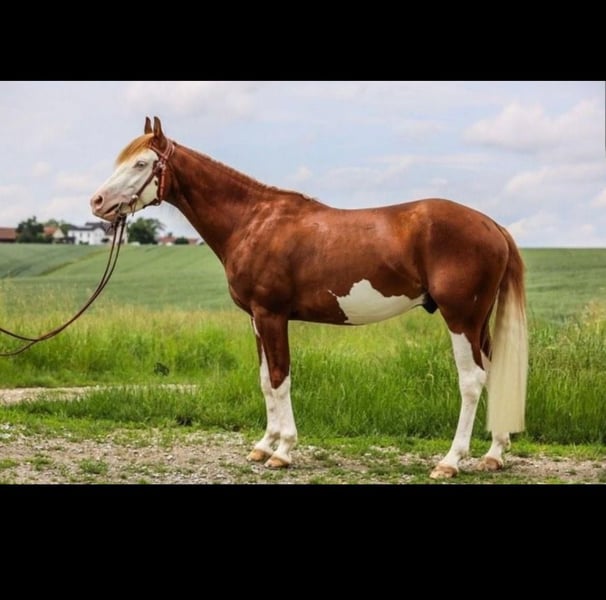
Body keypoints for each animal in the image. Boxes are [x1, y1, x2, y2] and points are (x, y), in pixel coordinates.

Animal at [89, 116, 528, 479]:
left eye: (141, 164)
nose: (97, 203)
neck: (253, 221)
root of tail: (491, 225)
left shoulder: (272, 315)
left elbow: (280, 378)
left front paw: (283, 451)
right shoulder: (256, 318)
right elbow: (265, 380)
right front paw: (263, 445)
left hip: (461, 318)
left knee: (472, 380)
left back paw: (450, 461)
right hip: (478, 323)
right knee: (494, 372)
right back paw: (494, 454)